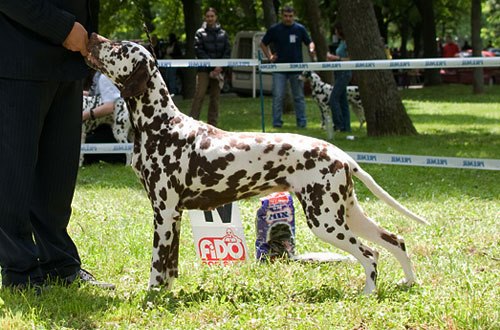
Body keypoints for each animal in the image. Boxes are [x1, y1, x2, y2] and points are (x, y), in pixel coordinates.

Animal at [87, 34, 430, 296]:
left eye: (119, 48)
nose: (92, 36)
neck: (161, 124)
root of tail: (339, 154)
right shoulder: (174, 216)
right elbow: (169, 268)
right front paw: (166, 292)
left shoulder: (165, 212)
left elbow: (157, 266)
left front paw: (152, 296)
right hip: (346, 214)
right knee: (395, 241)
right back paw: (408, 282)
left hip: (325, 221)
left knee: (370, 255)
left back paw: (368, 293)